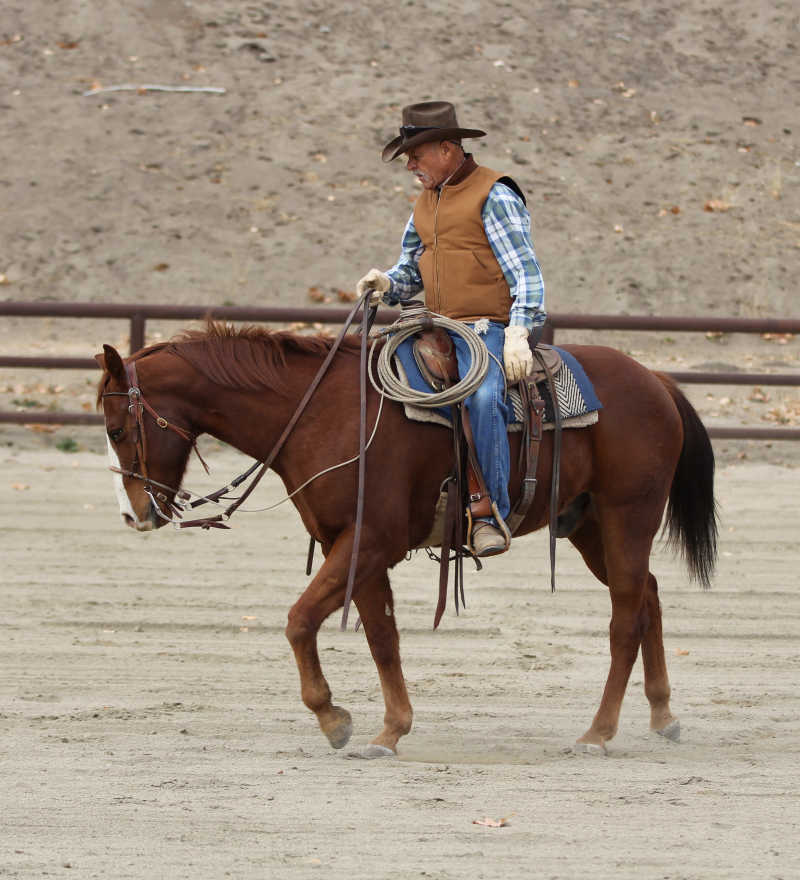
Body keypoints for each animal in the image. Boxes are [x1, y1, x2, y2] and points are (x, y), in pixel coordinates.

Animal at [95, 324, 720, 756]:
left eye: (118, 429)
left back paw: (598, 733)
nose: (131, 516)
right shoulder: (351, 546)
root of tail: (656, 380)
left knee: (625, 618)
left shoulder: (370, 541)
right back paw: (663, 717)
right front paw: (390, 730)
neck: (322, 412)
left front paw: (335, 720)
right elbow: (382, 637)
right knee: (648, 596)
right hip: (588, 526)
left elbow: (300, 620)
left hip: (627, 516)